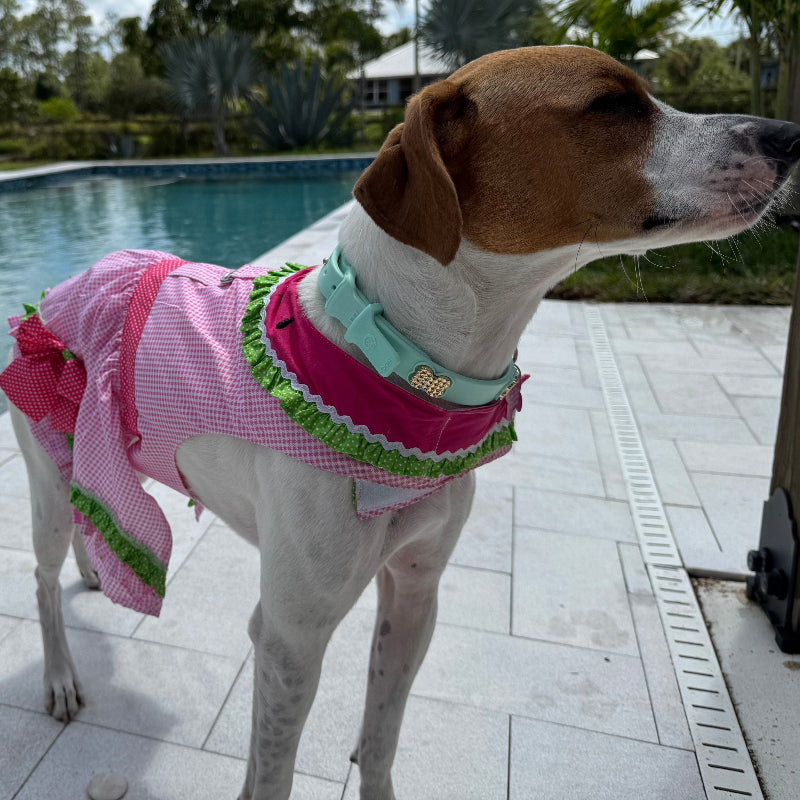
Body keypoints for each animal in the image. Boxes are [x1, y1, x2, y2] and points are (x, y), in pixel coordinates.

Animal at [4, 45, 800, 800]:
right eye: (612, 103)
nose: (789, 134)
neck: (401, 370)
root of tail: (68, 284)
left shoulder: (416, 591)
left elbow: (383, 731)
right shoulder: (291, 634)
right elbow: (273, 770)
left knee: (88, 512)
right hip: (42, 472)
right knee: (42, 578)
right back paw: (61, 675)